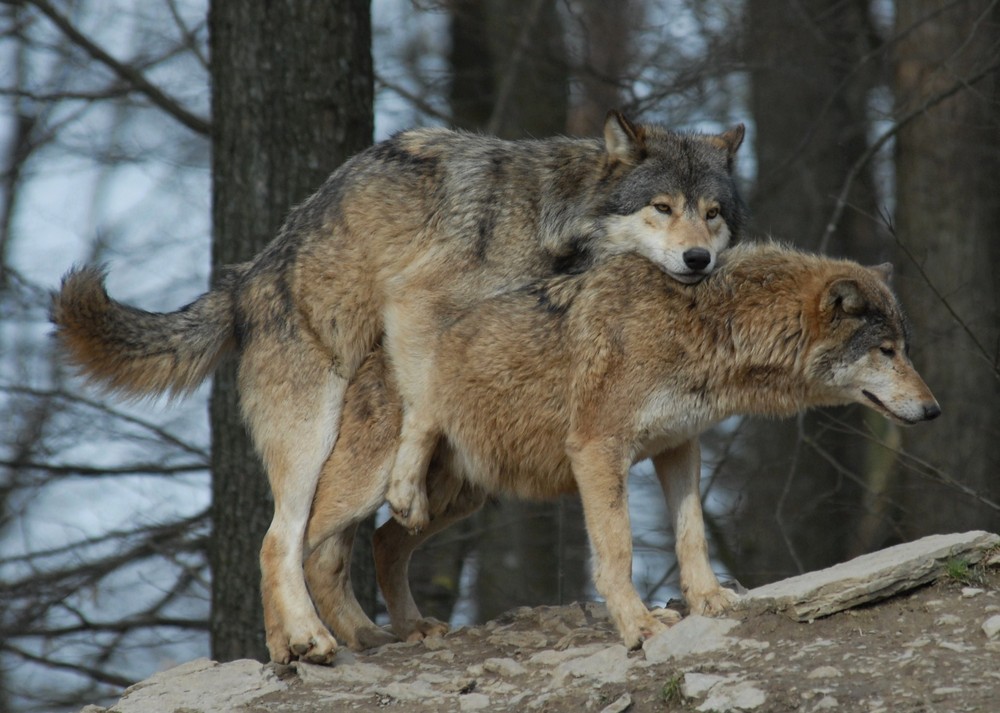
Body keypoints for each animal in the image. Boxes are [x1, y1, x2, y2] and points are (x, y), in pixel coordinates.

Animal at [296, 242, 936, 652]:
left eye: (905, 348)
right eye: (886, 351)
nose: (932, 410)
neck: (708, 325)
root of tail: (365, 353)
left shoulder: (681, 448)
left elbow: (692, 535)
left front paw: (709, 600)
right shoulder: (598, 452)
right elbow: (618, 552)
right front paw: (638, 627)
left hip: (455, 499)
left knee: (382, 542)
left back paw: (407, 631)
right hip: (370, 489)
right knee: (301, 544)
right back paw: (330, 640)